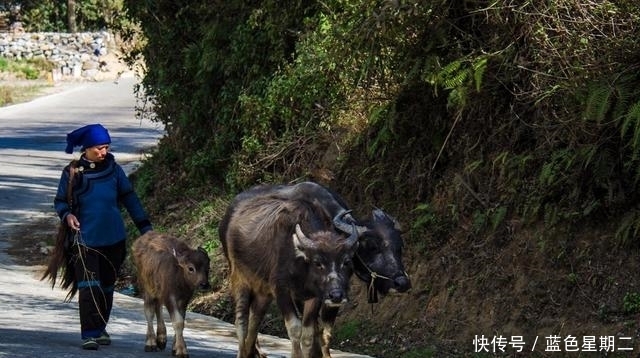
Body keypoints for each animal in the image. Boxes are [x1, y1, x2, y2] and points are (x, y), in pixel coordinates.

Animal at [219, 187, 360, 358]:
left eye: (346, 262)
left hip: (263, 292)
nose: (336, 295)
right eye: (318, 263)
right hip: (239, 279)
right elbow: (295, 328)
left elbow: (308, 334)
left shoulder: (314, 297)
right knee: (242, 322)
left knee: (255, 320)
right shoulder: (281, 290)